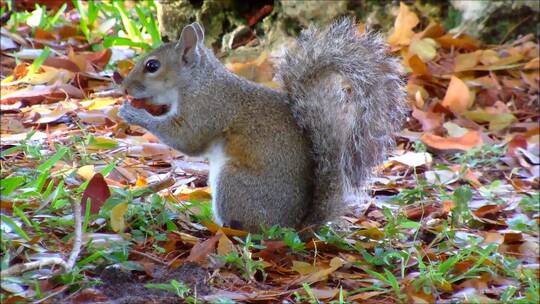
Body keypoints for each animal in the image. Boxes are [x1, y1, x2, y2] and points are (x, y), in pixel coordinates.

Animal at [118, 18, 404, 233]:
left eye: (152, 66)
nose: (124, 87)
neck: (197, 81)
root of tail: (293, 227)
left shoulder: (208, 108)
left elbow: (187, 139)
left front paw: (133, 113)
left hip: (234, 183)